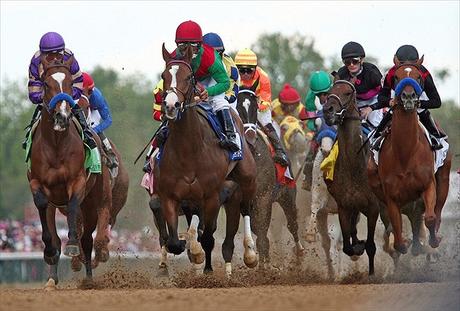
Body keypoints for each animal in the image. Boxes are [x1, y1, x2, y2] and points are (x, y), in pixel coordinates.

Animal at [27, 56, 113, 290]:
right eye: (46, 84)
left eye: (68, 83)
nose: (62, 116)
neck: (56, 144)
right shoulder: (37, 183)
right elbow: (41, 205)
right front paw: (49, 252)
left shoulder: (77, 182)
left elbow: (74, 203)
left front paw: (72, 245)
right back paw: (52, 278)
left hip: (94, 200)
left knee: (89, 237)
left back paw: (89, 276)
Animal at [155, 45, 258, 274]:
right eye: (164, 76)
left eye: (188, 77)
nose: (171, 105)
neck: (188, 150)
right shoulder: (171, 196)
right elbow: (174, 241)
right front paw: (187, 247)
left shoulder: (212, 196)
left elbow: (209, 238)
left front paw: (205, 265)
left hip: (246, 177)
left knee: (246, 209)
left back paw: (250, 253)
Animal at [235, 81, 304, 266]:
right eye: (236, 107)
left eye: (254, 106)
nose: (250, 135)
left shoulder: (264, 197)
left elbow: (263, 236)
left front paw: (264, 267)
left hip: (288, 194)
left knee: (293, 224)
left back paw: (299, 254)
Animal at [320, 80, 380, 276]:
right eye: (330, 91)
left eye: (347, 92)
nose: (328, 110)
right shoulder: (344, 206)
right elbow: (347, 245)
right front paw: (357, 247)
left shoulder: (374, 207)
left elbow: (371, 246)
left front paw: (371, 274)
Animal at [368, 59, 452, 256]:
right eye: (396, 77)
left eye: (419, 77)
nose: (408, 97)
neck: (405, 153)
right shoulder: (391, 198)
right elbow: (397, 234)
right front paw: (404, 244)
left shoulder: (428, 185)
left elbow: (430, 218)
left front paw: (433, 241)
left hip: (443, 178)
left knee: (434, 212)